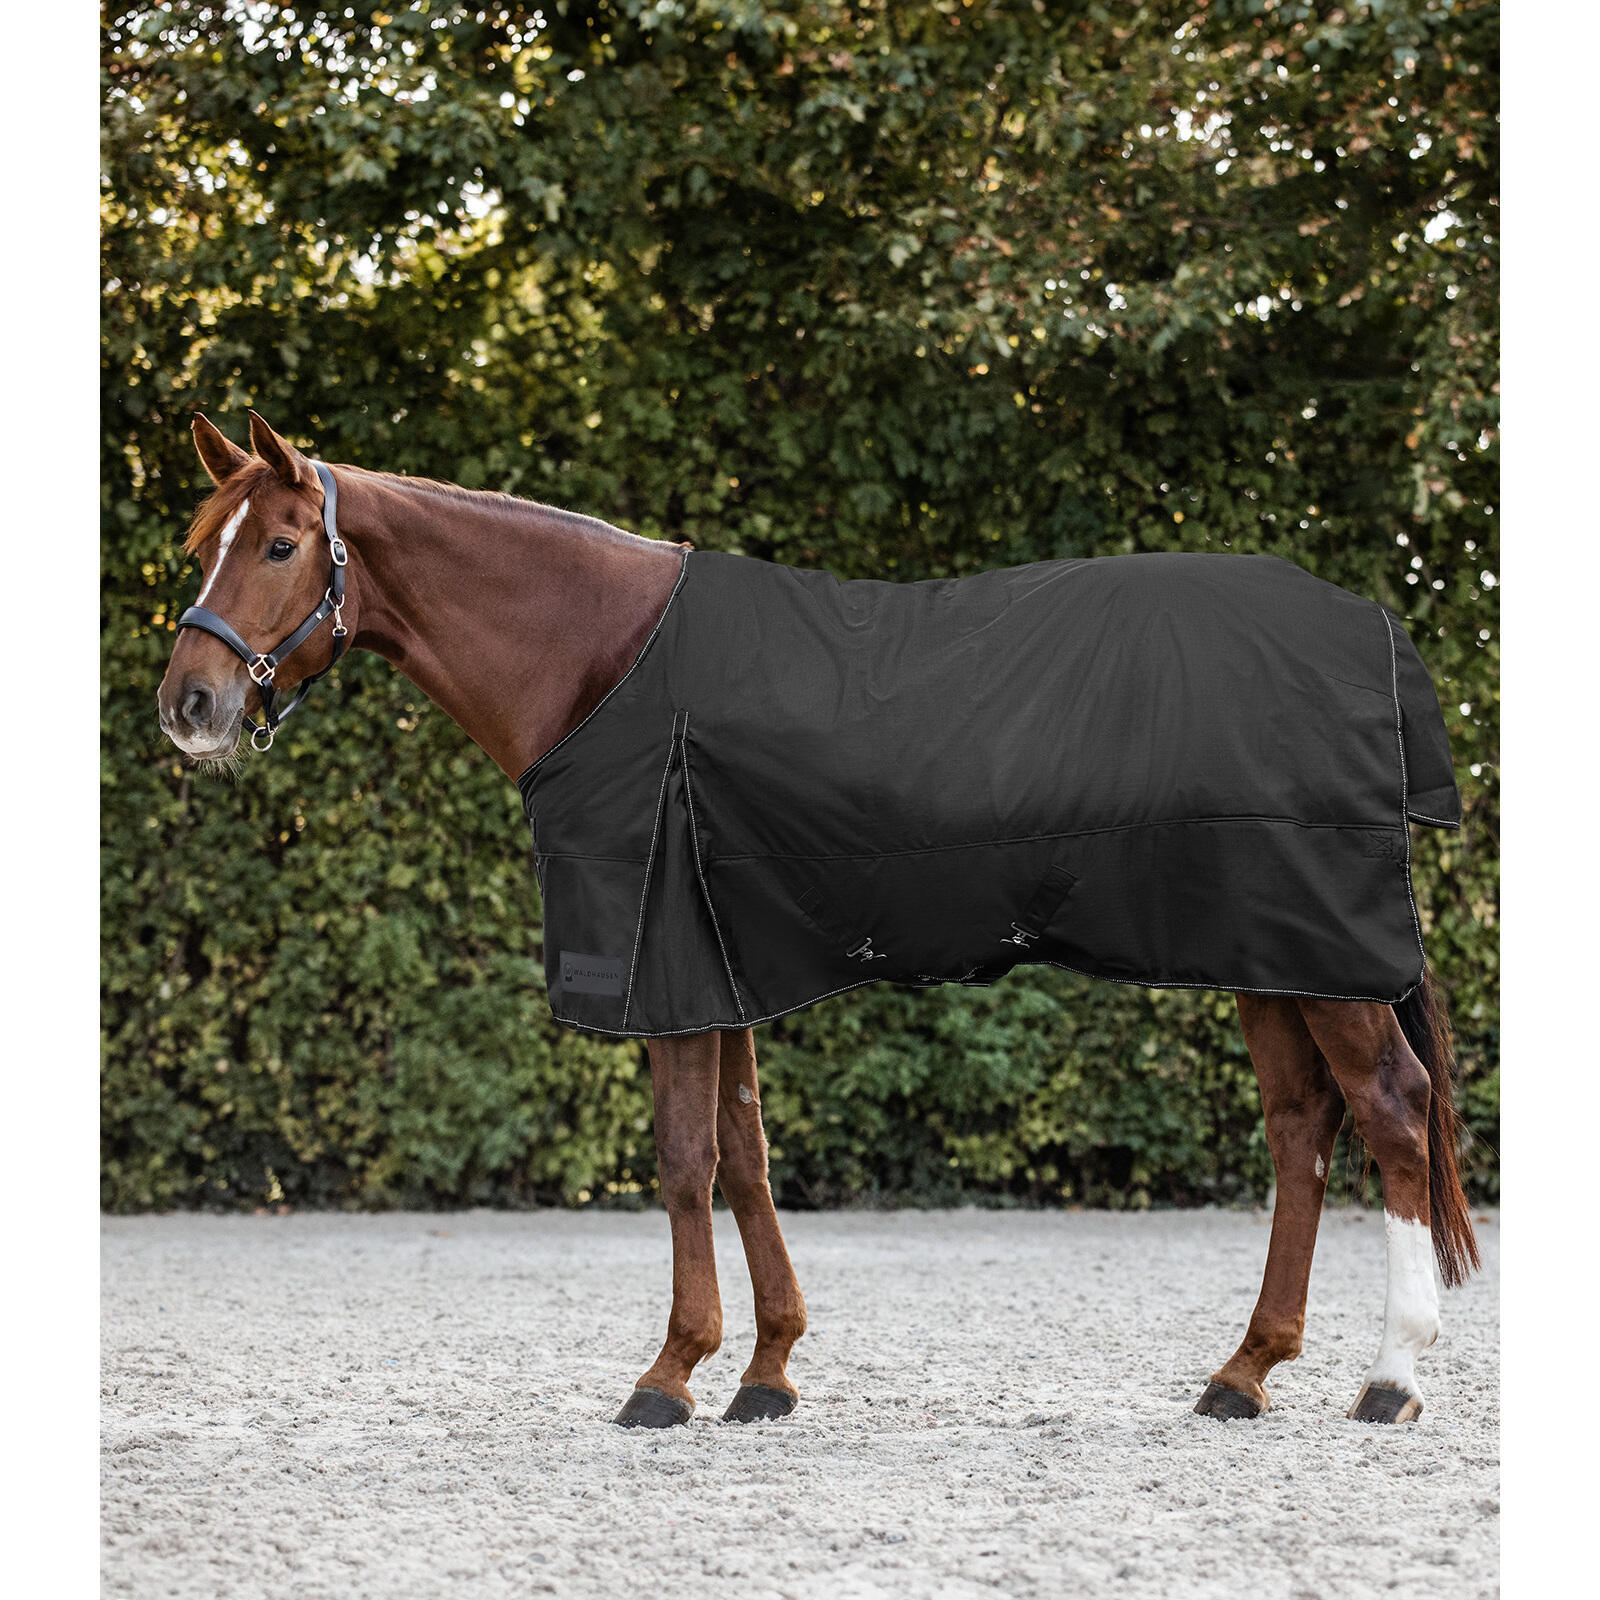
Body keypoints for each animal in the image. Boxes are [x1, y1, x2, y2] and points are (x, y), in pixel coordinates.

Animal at [156, 412, 1480, 1429]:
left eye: (280, 544)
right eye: (196, 544)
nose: (189, 705)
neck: (601, 659)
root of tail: (1369, 627)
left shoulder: (667, 964)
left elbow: (684, 1160)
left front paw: (669, 1374)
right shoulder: (716, 959)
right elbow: (744, 1156)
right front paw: (768, 1368)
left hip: (1323, 956)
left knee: (1390, 1110)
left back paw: (1389, 1376)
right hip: (1271, 953)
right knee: (1302, 1126)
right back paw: (1243, 1371)